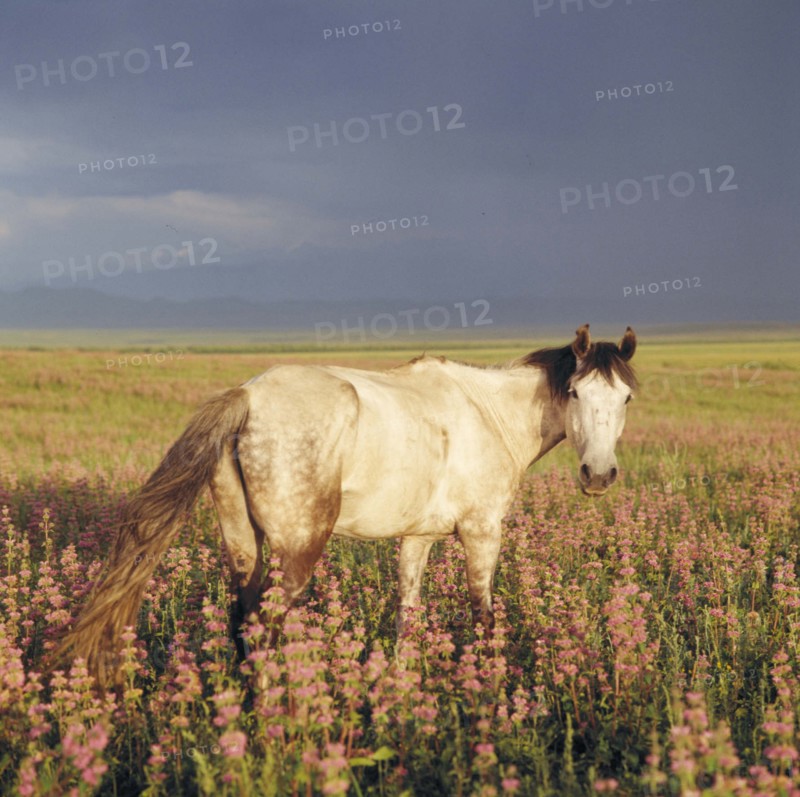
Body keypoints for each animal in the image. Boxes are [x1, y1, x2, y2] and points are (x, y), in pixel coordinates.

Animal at [51, 323, 637, 687]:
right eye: (577, 393)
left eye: (626, 397)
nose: (599, 475)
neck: (488, 412)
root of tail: (248, 396)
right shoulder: (481, 532)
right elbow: (484, 614)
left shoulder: (417, 539)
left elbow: (406, 613)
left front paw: (401, 685)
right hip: (298, 551)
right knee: (267, 626)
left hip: (244, 545)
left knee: (243, 623)